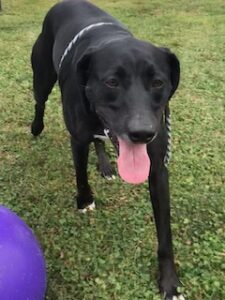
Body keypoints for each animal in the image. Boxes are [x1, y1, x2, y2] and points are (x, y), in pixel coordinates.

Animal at [31, 1, 183, 298]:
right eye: (112, 82)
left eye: (158, 83)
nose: (142, 133)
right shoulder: (77, 138)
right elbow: (80, 174)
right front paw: (84, 201)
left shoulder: (158, 167)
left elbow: (165, 234)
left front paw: (169, 282)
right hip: (41, 75)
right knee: (39, 101)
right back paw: (36, 127)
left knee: (99, 140)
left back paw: (105, 165)